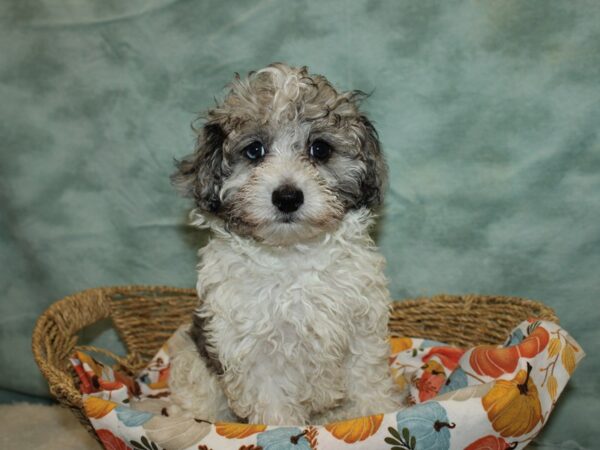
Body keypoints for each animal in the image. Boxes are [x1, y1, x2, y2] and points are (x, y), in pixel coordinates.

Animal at [168, 63, 404, 426]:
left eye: (320, 149)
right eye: (254, 151)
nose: (288, 197)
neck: (293, 255)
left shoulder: (362, 331)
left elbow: (368, 383)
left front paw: (379, 416)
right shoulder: (255, 351)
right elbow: (274, 407)